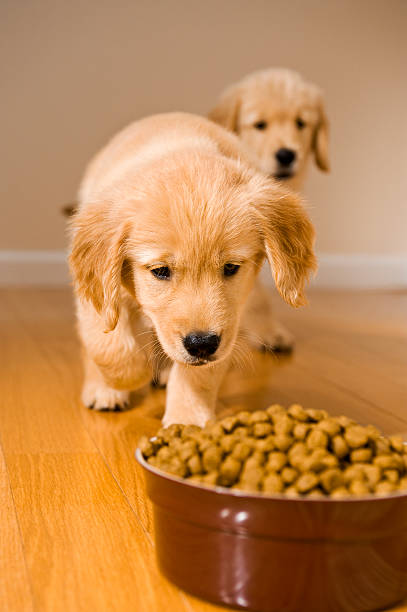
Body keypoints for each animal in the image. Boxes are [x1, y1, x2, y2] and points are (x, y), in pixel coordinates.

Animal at [70, 112, 318, 426]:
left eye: (231, 267)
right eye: (160, 270)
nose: (201, 344)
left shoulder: (230, 316)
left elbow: (200, 374)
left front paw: (186, 419)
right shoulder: (99, 286)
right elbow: (108, 345)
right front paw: (126, 378)